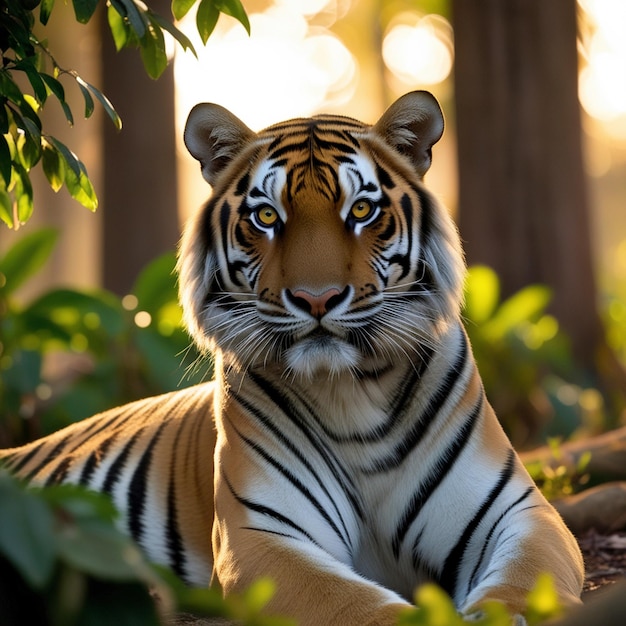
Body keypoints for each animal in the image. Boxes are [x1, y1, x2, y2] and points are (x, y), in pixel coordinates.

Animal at [2, 90, 584, 620]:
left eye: (361, 209)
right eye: (266, 216)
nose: (316, 299)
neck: (352, 390)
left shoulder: (518, 513)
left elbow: (521, 590)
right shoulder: (259, 537)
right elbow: (361, 608)